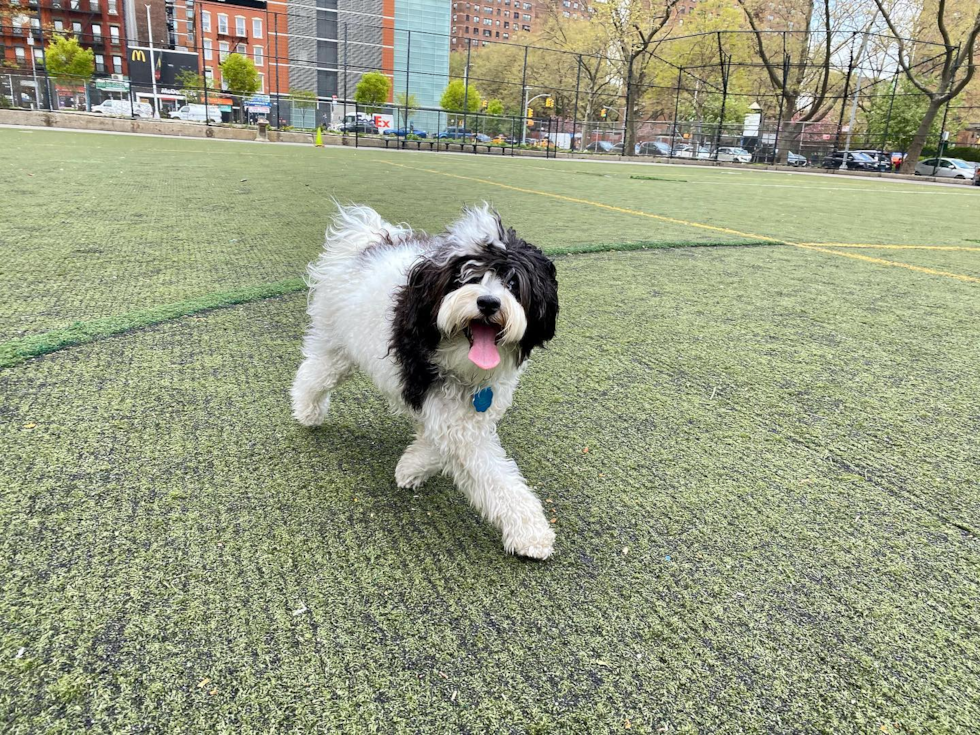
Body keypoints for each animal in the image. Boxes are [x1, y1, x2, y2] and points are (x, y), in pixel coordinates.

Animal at [290, 204, 560, 560]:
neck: (462, 363)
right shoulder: (437, 401)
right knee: (314, 373)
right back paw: (306, 411)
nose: (489, 302)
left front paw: (412, 466)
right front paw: (531, 533)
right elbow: (493, 475)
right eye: (466, 277)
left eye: (513, 282)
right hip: (337, 347)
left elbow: (438, 442)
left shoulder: (467, 411)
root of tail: (368, 239)